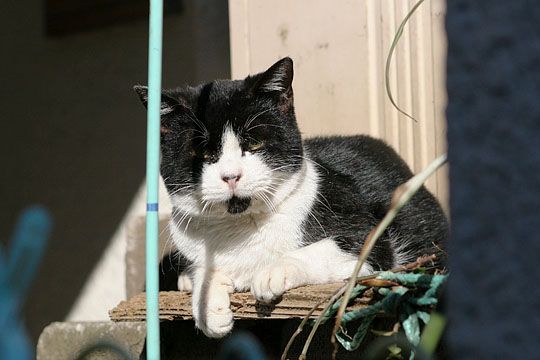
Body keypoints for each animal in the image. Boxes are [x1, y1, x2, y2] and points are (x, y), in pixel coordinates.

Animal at [135, 56, 448, 338]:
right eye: (203, 154)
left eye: (254, 144)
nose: (231, 176)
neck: (240, 229)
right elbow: (206, 269)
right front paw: (208, 306)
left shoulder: (368, 236)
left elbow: (329, 249)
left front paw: (271, 272)